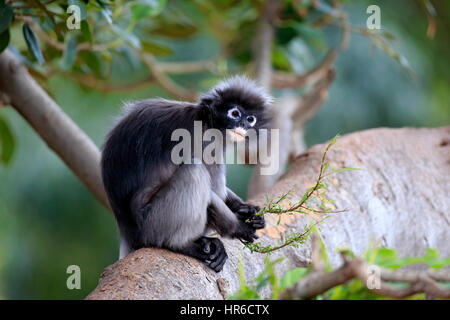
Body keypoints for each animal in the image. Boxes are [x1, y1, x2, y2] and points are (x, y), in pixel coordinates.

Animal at [101, 75, 270, 272]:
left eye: (250, 119)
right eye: (234, 113)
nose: (243, 124)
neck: (204, 120)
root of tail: (127, 233)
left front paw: (246, 209)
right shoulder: (206, 141)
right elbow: (216, 191)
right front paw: (238, 226)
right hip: (153, 223)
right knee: (194, 171)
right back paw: (182, 245)